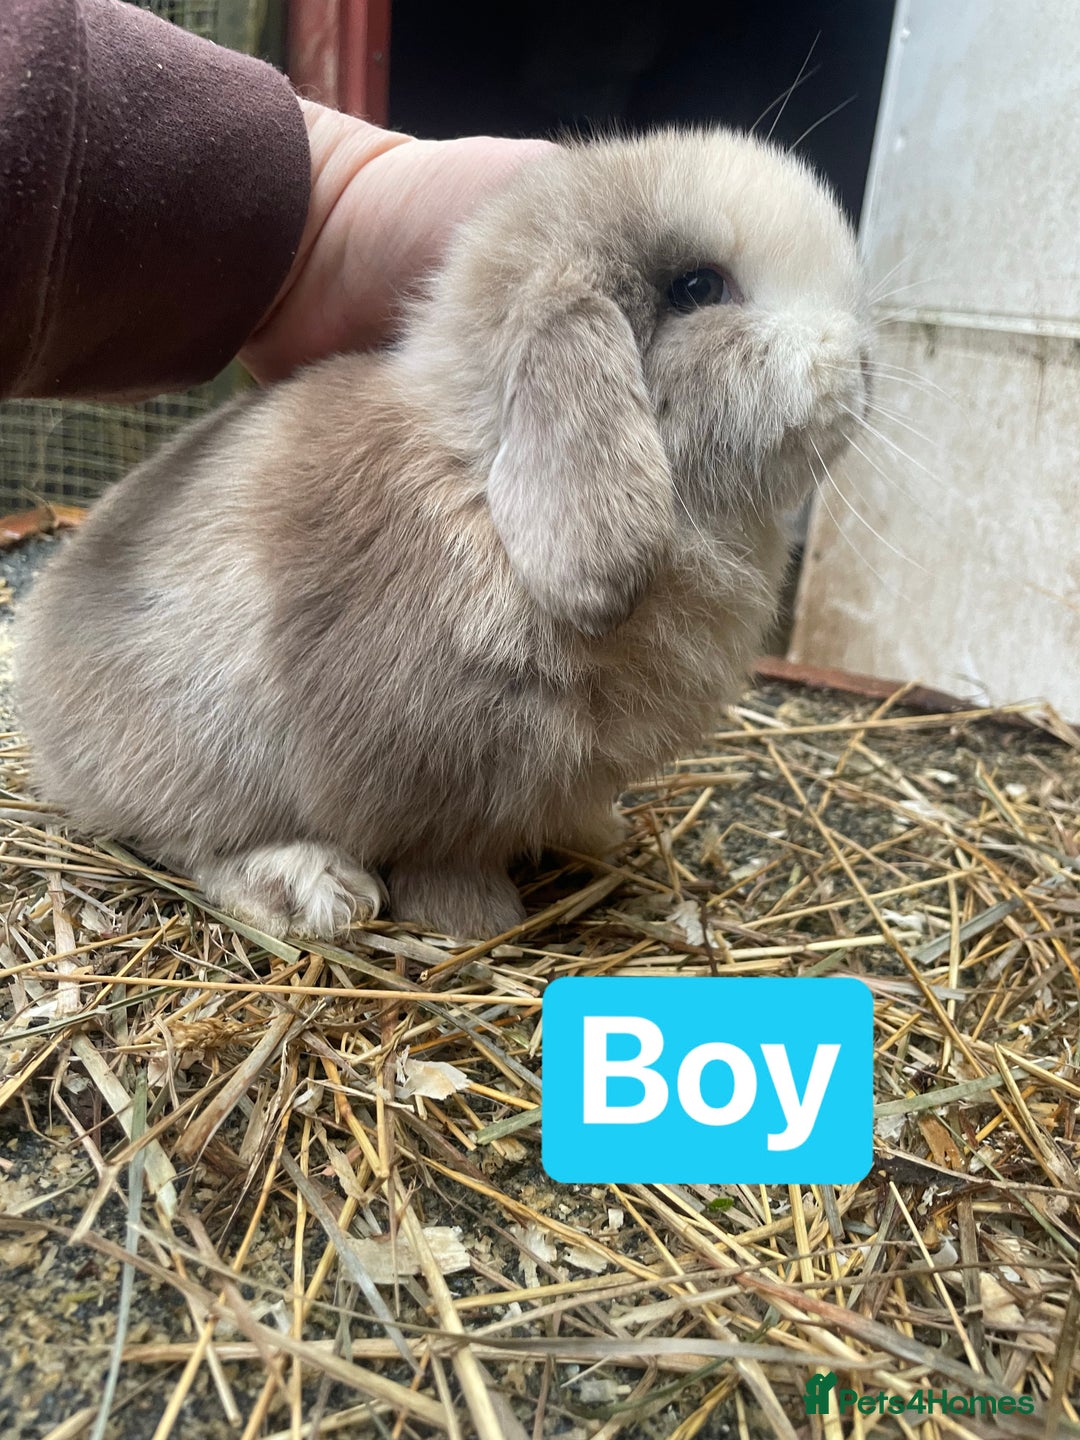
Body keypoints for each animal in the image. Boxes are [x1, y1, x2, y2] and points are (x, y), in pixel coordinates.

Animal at [15, 127, 870, 942]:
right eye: (698, 287)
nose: (861, 364)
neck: (480, 482)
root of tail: (38, 686)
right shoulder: (440, 778)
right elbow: (447, 854)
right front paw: (475, 921)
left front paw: (599, 834)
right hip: (197, 754)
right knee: (190, 840)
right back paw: (311, 889)